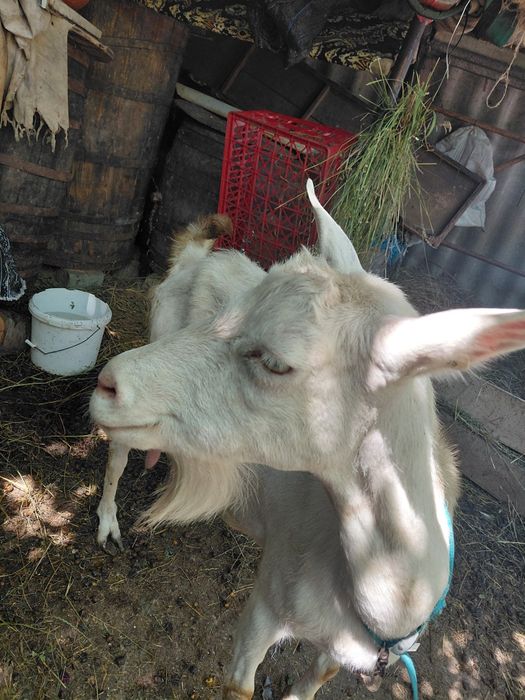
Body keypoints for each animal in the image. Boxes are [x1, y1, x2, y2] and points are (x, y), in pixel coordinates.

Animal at [90, 181, 525, 699]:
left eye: (276, 362)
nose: (109, 384)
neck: (387, 599)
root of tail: (196, 258)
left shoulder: (346, 646)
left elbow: (321, 676)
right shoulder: (266, 604)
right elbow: (240, 685)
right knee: (117, 454)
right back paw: (108, 524)